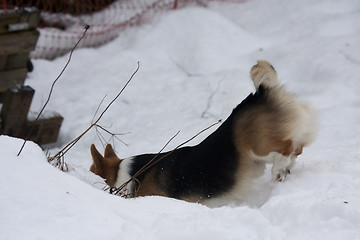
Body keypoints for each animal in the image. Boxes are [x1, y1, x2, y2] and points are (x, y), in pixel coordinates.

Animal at [89, 60, 316, 206]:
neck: (128, 174)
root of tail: (261, 91)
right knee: (298, 149)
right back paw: (286, 168)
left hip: (258, 147)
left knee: (286, 148)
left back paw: (279, 169)